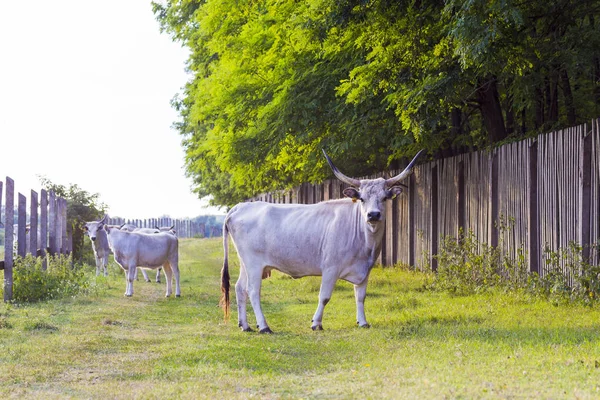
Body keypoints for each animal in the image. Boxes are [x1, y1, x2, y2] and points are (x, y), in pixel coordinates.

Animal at [220, 148, 422, 332]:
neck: (365, 241)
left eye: (384, 198)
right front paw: (316, 323)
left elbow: (360, 296)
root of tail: (240, 207)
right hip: (254, 264)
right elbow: (324, 297)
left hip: (246, 264)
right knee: (253, 291)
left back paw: (245, 325)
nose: (373, 215)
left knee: (240, 288)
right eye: (362, 199)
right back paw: (263, 326)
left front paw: (363, 322)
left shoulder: (365, 271)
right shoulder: (330, 268)